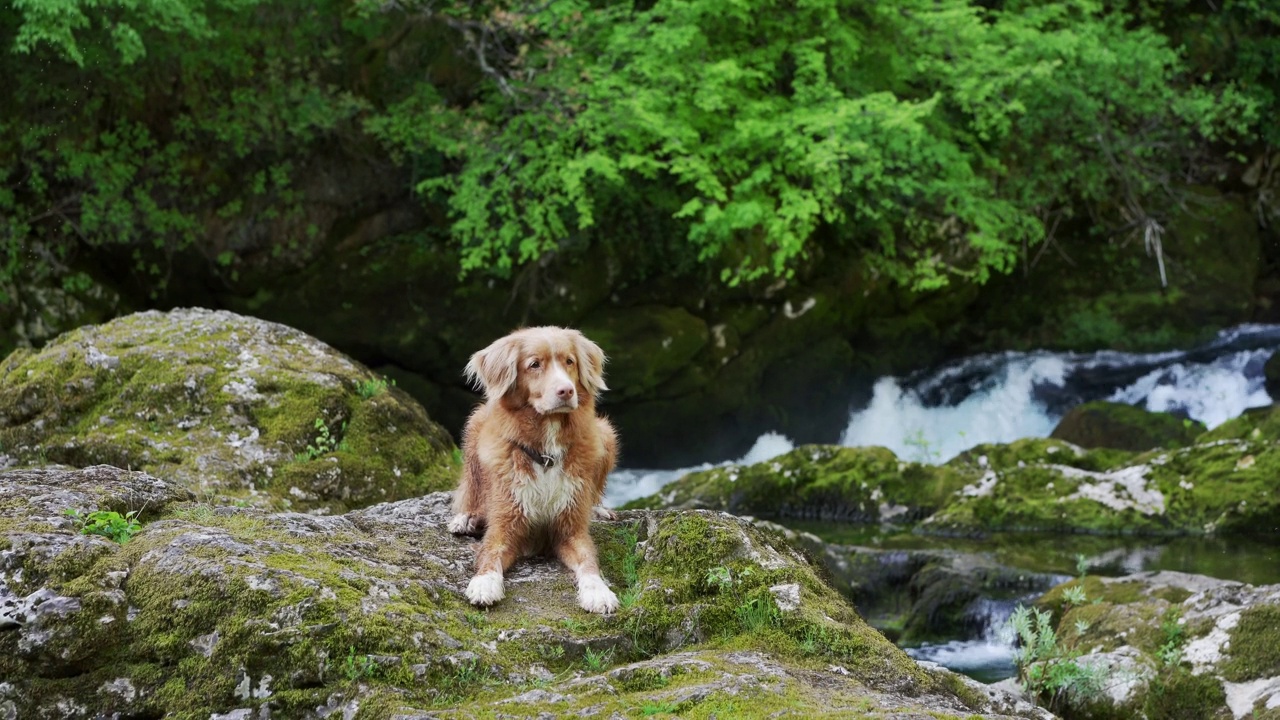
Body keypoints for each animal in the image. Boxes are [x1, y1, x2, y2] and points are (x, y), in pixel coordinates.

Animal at [450, 325, 619, 609]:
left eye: (569, 362)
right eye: (534, 365)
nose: (566, 391)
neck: (546, 454)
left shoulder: (570, 529)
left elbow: (588, 560)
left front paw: (598, 591)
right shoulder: (505, 524)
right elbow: (490, 552)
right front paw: (484, 583)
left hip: (604, 434)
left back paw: (599, 509)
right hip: (475, 425)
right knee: (471, 492)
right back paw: (467, 517)